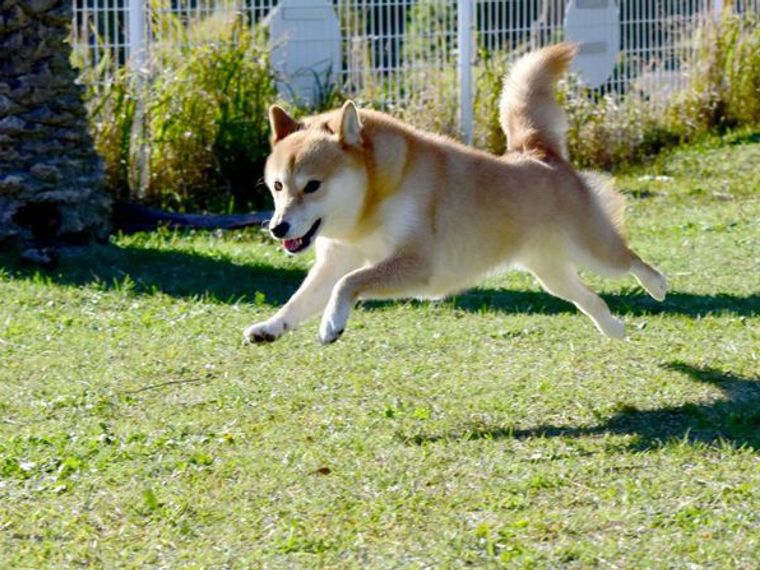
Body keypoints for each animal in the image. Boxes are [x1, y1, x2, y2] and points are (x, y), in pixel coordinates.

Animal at [243, 42, 664, 344]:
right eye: (278, 186)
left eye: (312, 186)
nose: (277, 228)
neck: (372, 202)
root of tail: (538, 153)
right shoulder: (335, 260)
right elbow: (302, 299)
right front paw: (271, 327)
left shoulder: (416, 264)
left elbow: (349, 283)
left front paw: (331, 324)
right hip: (550, 273)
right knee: (590, 299)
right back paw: (614, 329)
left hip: (594, 251)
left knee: (632, 260)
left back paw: (657, 285)